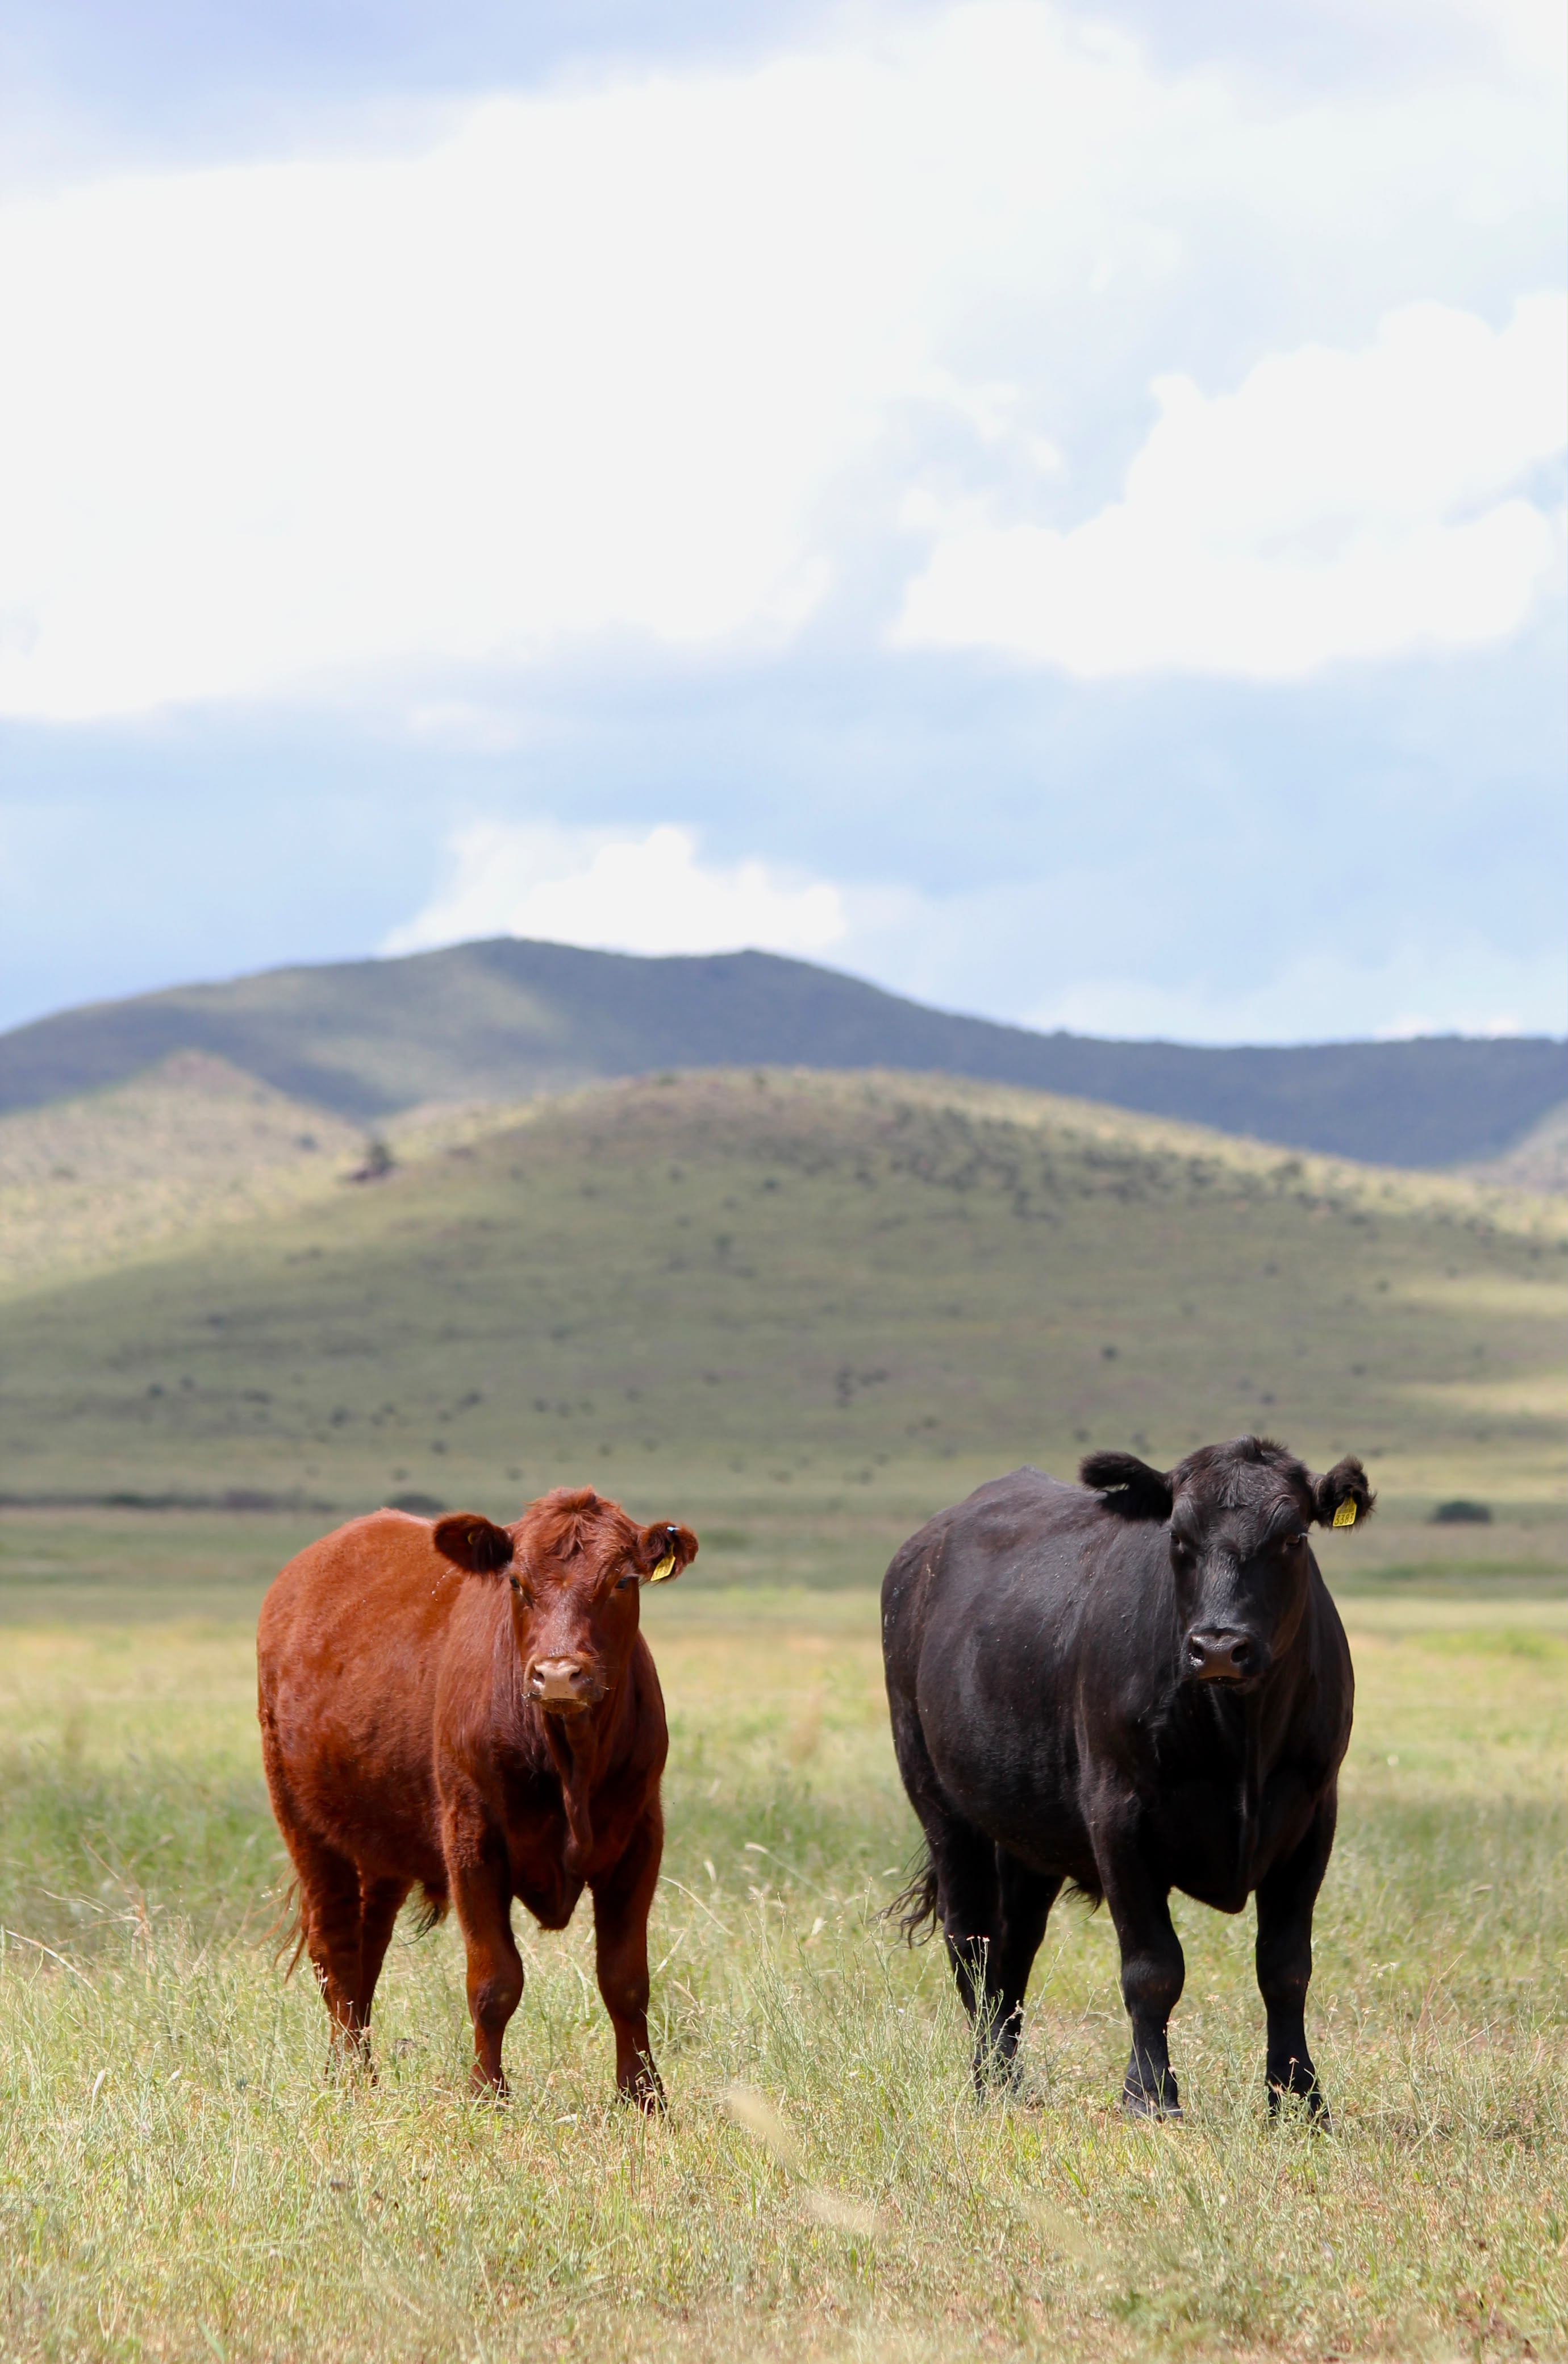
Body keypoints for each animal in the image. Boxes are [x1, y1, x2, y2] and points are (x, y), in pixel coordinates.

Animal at [257, 1486, 698, 2104]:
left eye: (623, 1581)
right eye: (516, 1581)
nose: (558, 1674)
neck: (569, 1763)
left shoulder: (638, 1838)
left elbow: (626, 1980)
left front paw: (643, 2096)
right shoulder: (472, 1837)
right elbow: (495, 1980)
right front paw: (487, 2093)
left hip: (382, 1845)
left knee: (370, 1944)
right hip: (304, 1823)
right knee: (336, 1946)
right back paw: (350, 2077)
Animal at [881, 1436, 1368, 2120]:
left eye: (1294, 1537)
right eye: (1178, 1538)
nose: (1219, 1647)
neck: (1239, 1736)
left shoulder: (1312, 1817)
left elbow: (1285, 1966)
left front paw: (1299, 2097)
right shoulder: (1118, 1815)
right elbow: (1153, 1967)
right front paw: (1150, 2093)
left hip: (1027, 1832)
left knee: (1015, 1943)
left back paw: (1011, 2077)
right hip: (939, 1798)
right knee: (971, 1939)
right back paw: (989, 2081)